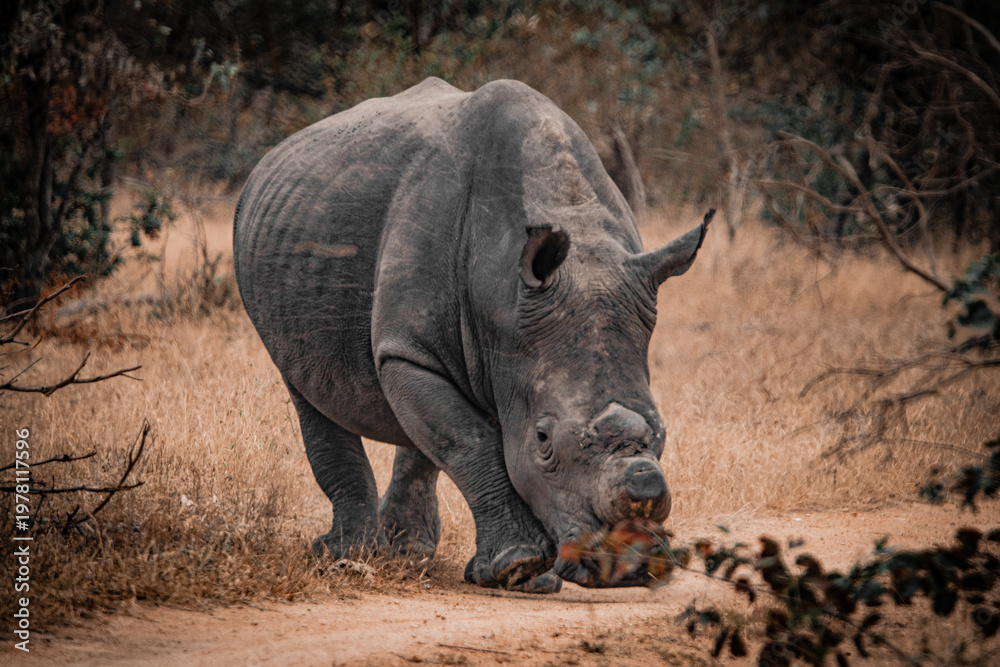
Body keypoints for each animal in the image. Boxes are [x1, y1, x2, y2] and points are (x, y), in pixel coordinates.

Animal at [233, 77, 712, 591]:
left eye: (661, 430)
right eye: (543, 439)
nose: (625, 567)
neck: (503, 295)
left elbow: (458, 435)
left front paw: (525, 575)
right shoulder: (410, 350)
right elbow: (469, 440)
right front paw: (517, 564)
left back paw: (407, 553)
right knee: (309, 390)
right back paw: (345, 555)